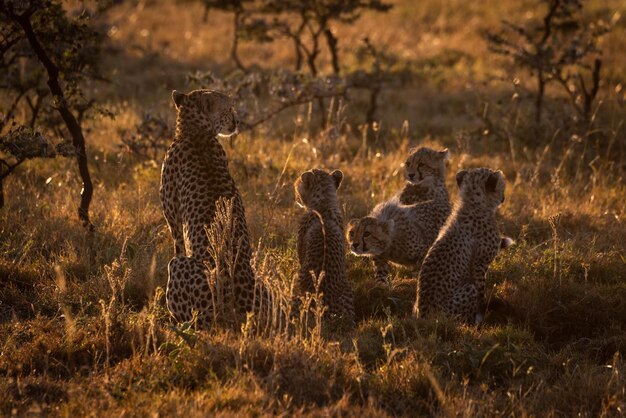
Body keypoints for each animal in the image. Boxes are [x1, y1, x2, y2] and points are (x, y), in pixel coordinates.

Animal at [161, 90, 256, 328]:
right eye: (228, 108)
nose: (237, 121)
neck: (196, 131)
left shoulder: (173, 220)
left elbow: (178, 244)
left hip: (179, 268)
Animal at [346, 147, 448, 288]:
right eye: (352, 233)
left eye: (367, 234)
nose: (355, 244)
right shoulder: (379, 256)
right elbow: (381, 272)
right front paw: (381, 286)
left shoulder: (423, 251)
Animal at [414, 167, 508, 324]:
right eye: (502, 188)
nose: (504, 197)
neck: (473, 203)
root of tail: (424, 316)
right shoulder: (480, 265)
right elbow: (481, 294)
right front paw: (480, 319)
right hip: (466, 291)